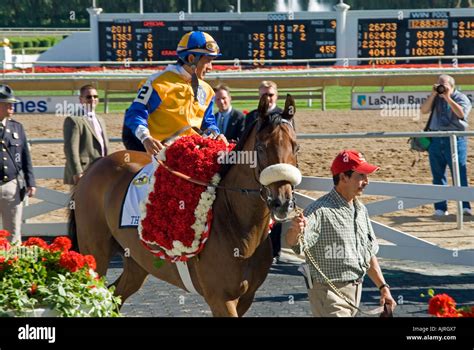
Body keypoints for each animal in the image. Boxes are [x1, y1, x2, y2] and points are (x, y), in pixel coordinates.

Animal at [69, 94, 300, 316]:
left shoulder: (247, 297)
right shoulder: (220, 299)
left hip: (137, 261)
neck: (237, 225)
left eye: (296, 147)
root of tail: (95, 165)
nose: (282, 202)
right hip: (96, 254)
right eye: (260, 148)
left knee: (114, 296)